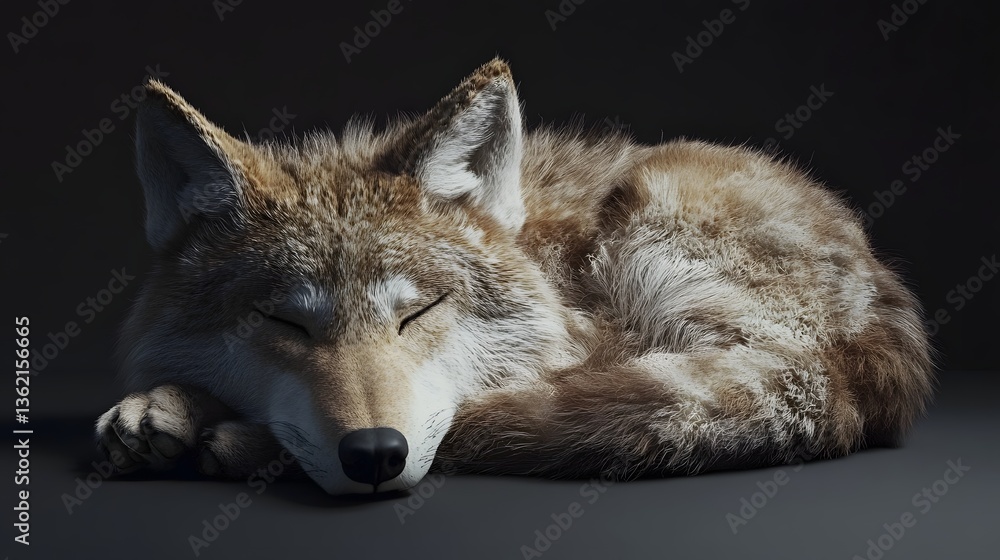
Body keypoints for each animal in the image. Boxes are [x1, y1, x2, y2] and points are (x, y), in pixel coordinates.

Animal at [96, 58, 934, 495]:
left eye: (418, 313)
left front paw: (206, 423)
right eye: (285, 323)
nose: (375, 455)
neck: (540, 256)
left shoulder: (586, 337)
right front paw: (161, 406)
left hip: (651, 223)